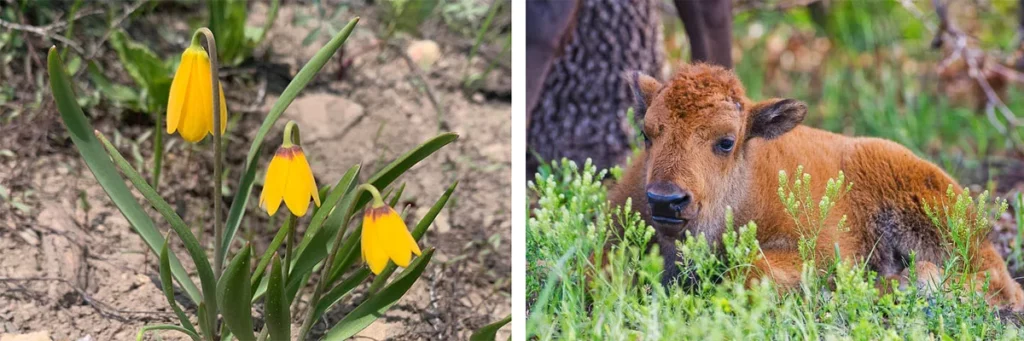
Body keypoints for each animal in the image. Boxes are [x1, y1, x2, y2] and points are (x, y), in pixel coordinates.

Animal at [606, 62, 1024, 309]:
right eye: (647, 134)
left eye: (725, 141)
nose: (666, 200)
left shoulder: (814, 251)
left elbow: (754, 270)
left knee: (994, 279)